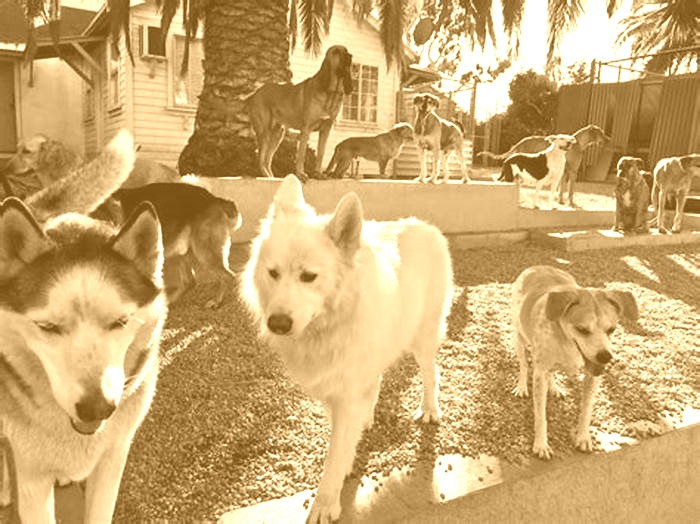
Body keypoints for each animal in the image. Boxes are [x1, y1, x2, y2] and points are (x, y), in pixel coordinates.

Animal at [241, 176, 454, 524]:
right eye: (273, 273)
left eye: (308, 276)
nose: (278, 324)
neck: (331, 323)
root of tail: (425, 225)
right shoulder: (334, 386)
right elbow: (341, 441)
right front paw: (348, 459)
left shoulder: (346, 388)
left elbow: (334, 453)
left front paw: (326, 502)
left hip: (421, 338)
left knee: (431, 373)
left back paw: (429, 409)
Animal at [247, 45, 356, 184]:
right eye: (336, 52)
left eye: (346, 50)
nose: (350, 56)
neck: (331, 93)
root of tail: (255, 93)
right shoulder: (306, 130)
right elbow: (301, 155)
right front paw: (300, 175)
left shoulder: (325, 130)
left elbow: (320, 153)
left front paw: (318, 174)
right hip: (265, 132)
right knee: (260, 156)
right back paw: (267, 177)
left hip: (277, 134)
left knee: (267, 159)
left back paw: (272, 177)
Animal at [508, 266, 640, 458]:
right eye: (582, 329)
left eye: (612, 329)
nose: (605, 356)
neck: (567, 343)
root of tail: (536, 267)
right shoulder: (539, 373)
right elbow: (540, 416)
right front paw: (541, 444)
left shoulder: (592, 376)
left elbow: (586, 409)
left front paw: (583, 437)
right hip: (519, 339)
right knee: (524, 365)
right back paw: (522, 387)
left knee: (551, 373)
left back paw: (554, 388)